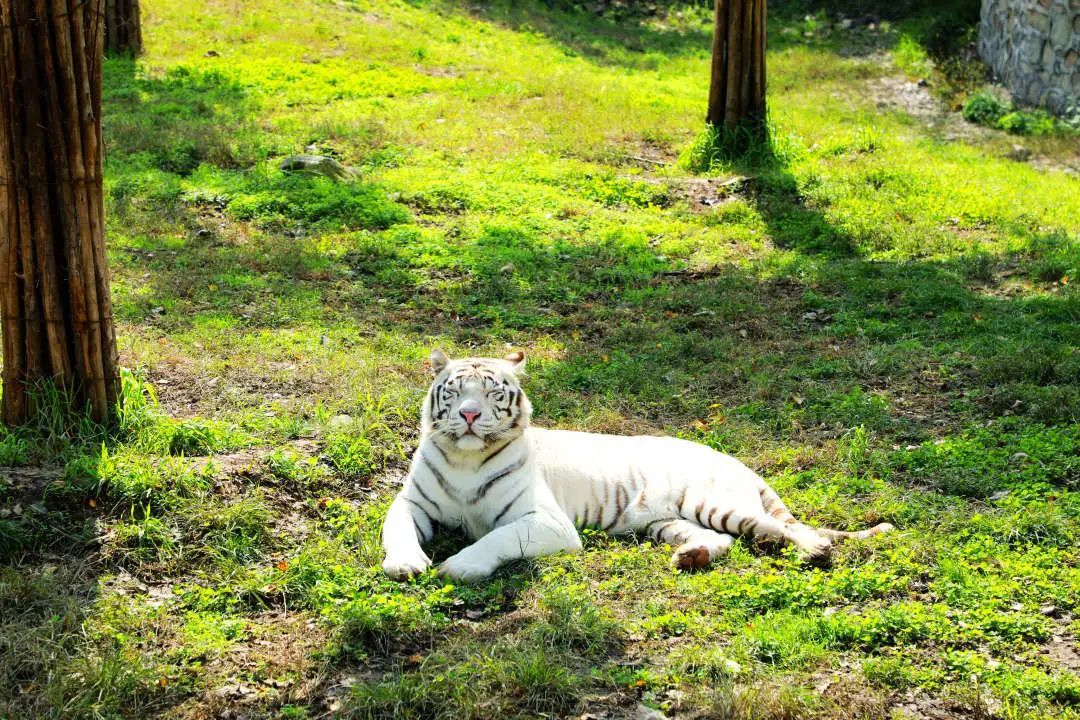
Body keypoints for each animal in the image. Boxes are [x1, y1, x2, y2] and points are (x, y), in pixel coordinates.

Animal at [382, 351, 894, 582]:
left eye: (492, 392)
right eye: (454, 391)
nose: (469, 415)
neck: (465, 459)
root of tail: (736, 460)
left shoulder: (545, 521)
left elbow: (497, 538)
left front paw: (457, 566)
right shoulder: (411, 503)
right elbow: (397, 529)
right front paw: (406, 563)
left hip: (715, 500)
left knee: (786, 528)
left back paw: (814, 551)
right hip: (666, 521)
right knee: (724, 539)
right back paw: (692, 556)